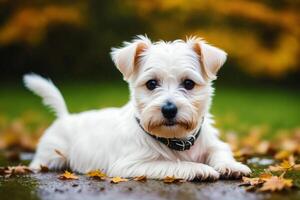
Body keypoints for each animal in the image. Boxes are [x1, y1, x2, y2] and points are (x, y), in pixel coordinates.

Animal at [23, 35, 251, 180]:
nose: (169, 109)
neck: (175, 140)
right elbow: (171, 164)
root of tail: (65, 117)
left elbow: (220, 151)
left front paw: (232, 166)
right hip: (49, 156)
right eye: (151, 84)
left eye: (188, 83)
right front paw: (197, 169)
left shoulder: (214, 144)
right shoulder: (131, 165)